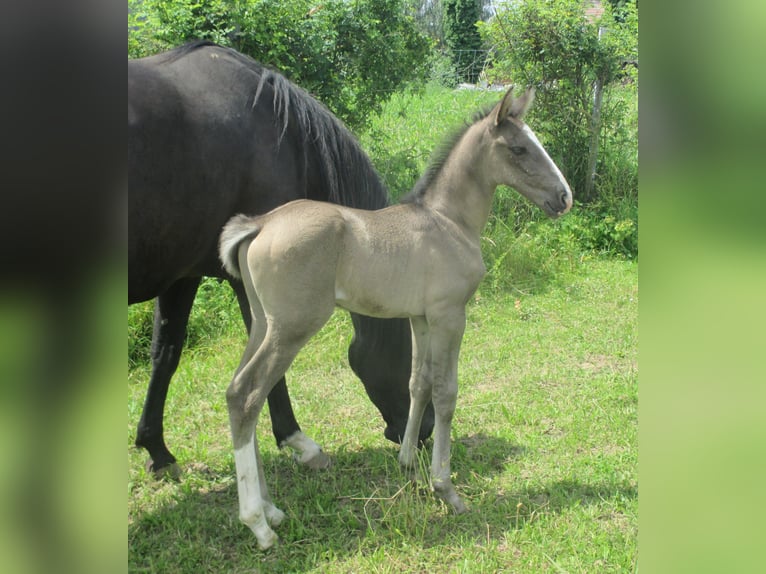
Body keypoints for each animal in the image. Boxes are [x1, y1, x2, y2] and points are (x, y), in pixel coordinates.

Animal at [129, 41, 436, 476]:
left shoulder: (182, 277)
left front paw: (156, 447)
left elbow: (165, 354)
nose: (425, 429)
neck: (284, 136)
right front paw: (297, 440)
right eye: (411, 353)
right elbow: (271, 365)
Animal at [219, 85, 572, 548]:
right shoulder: (449, 315)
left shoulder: (419, 319)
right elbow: (445, 393)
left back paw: (272, 511)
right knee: (248, 395)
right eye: (519, 148)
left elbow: (417, 383)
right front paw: (446, 489)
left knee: (238, 393)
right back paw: (258, 524)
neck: (448, 222)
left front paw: (408, 464)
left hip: (262, 324)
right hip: (292, 328)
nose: (564, 197)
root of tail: (259, 224)